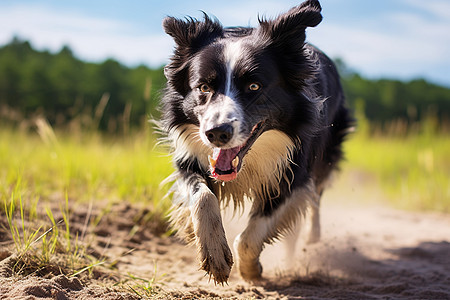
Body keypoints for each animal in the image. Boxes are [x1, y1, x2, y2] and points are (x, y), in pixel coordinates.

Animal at [160, 0, 354, 284]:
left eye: (254, 86)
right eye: (204, 88)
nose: (216, 133)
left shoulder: (293, 170)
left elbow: (251, 234)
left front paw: (251, 270)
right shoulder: (190, 158)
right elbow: (202, 196)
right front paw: (215, 256)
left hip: (327, 150)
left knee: (316, 196)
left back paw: (310, 239)